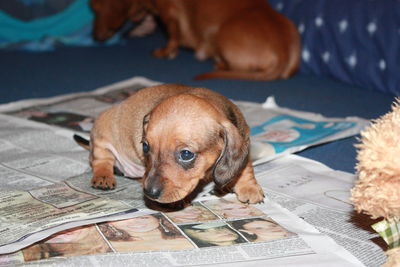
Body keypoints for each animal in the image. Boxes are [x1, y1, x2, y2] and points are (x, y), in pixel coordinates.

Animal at [76, 85, 264, 205]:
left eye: (186, 154)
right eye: (145, 146)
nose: (149, 193)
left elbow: (245, 167)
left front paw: (249, 187)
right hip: (101, 136)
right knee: (100, 160)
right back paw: (103, 177)